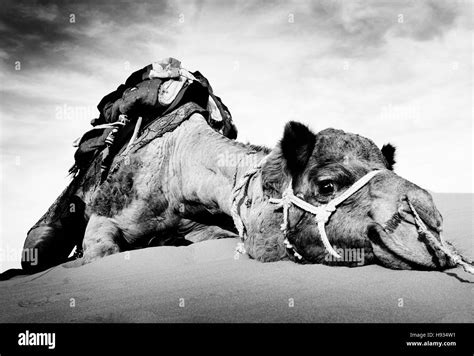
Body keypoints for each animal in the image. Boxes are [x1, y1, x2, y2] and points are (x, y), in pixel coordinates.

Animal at [18, 107, 470, 274]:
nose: (426, 220)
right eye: (327, 185)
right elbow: (102, 250)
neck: (176, 171)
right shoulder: (105, 219)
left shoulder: (209, 228)